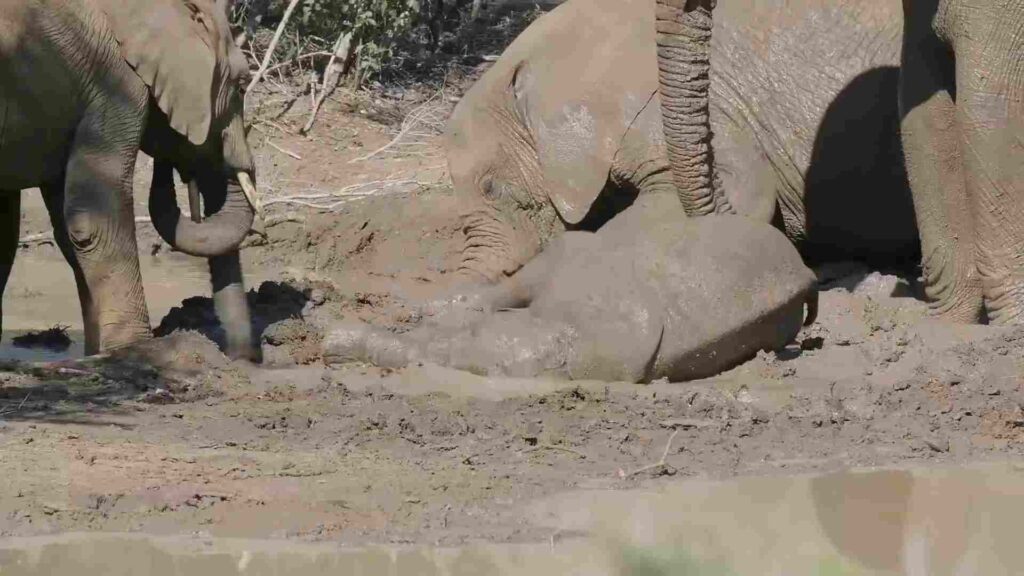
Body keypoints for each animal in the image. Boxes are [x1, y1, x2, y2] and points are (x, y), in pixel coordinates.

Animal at [0, 0, 260, 356]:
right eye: (242, 85)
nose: (246, 362)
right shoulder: (114, 85)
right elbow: (93, 220)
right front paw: (137, 349)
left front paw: (98, 354)